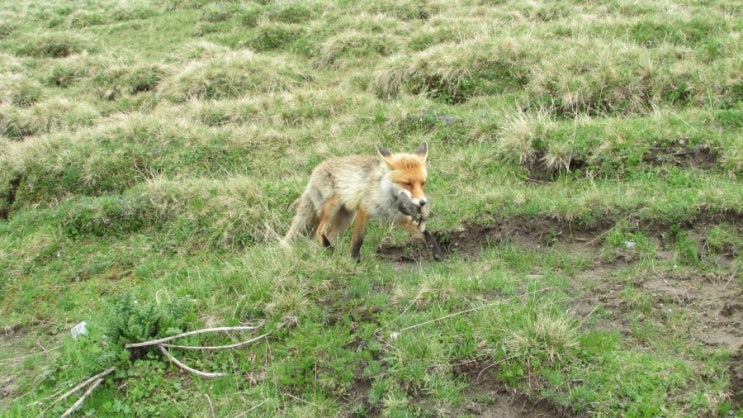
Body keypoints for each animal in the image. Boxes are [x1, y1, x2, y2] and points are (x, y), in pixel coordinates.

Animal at [282, 142, 444, 262]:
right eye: (407, 183)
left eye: (422, 183)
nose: (423, 202)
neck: (388, 197)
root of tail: (315, 170)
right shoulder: (363, 209)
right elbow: (357, 240)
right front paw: (354, 261)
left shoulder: (399, 219)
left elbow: (426, 233)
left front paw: (438, 253)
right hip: (333, 207)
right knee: (319, 231)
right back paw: (329, 249)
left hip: (344, 220)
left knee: (325, 235)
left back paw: (327, 253)